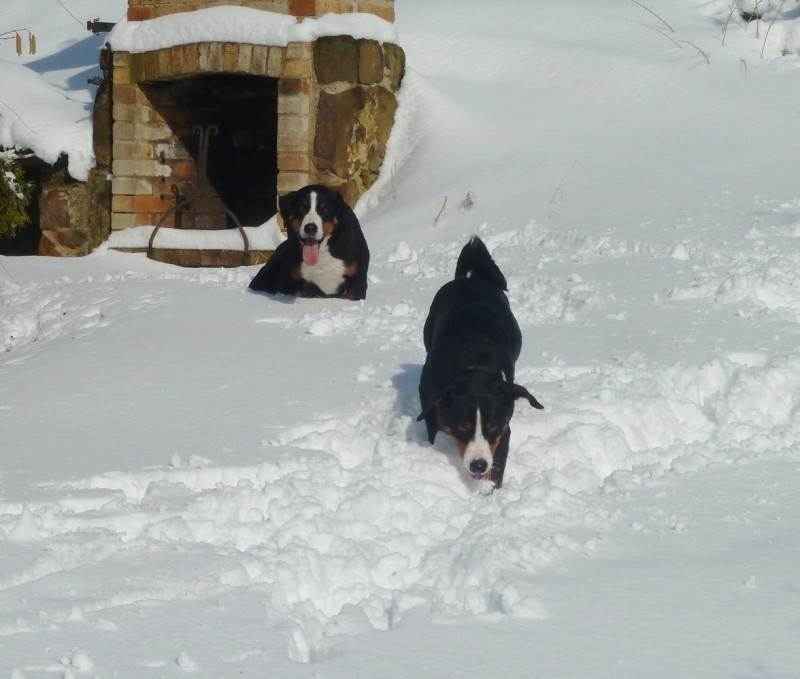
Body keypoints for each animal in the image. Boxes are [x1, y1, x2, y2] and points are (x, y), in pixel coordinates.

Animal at [418, 236, 544, 492]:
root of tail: (472, 279)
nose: (478, 465)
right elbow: (432, 428)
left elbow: (497, 469)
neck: (474, 363)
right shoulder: (428, 394)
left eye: (492, 426)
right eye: (462, 427)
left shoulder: (505, 427)